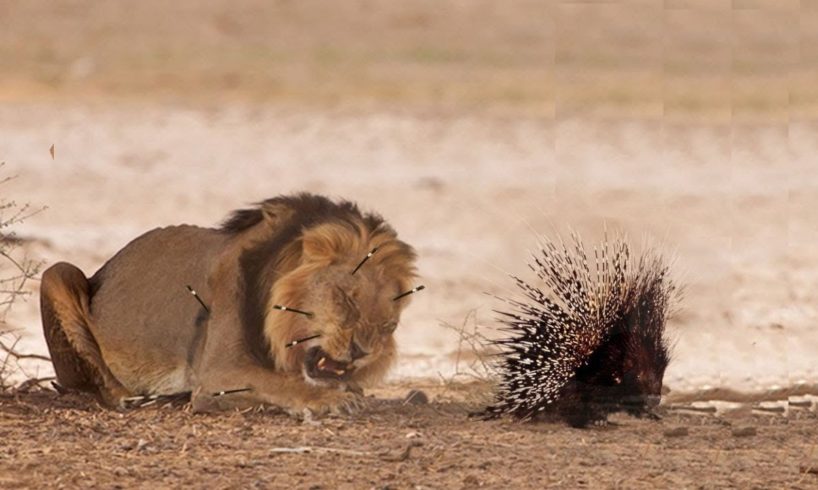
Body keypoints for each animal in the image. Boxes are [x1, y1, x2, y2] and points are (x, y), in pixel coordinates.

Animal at [37, 192, 414, 414]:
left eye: (389, 324)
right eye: (347, 298)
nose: (363, 351)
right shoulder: (219, 371)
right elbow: (279, 383)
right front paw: (331, 400)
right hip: (57, 272)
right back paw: (131, 397)